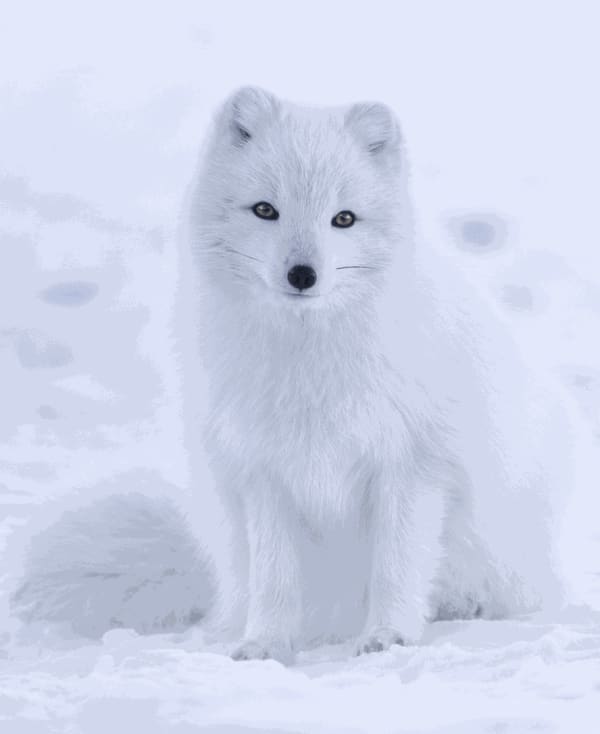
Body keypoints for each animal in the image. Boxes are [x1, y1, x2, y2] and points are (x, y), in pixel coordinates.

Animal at [176, 86, 573, 664]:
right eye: (266, 210)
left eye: (344, 219)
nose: (302, 274)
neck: (311, 364)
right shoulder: (263, 471)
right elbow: (275, 577)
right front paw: (266, 645)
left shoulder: (412, 464)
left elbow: (397, 564)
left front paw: (389, 636)